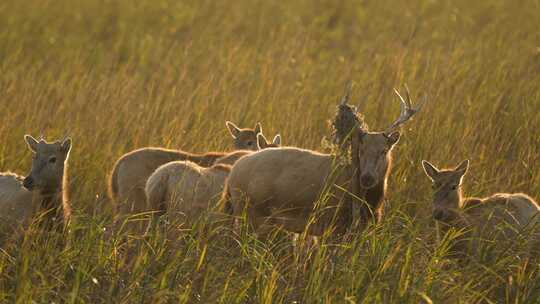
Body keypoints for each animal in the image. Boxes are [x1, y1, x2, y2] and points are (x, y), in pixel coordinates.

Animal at [221, 86, 424, 236]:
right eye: (360, 150)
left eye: (384, 151)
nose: (367, 178)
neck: (371, 203)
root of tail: (232, 175)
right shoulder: (335, 224)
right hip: (252, 212)